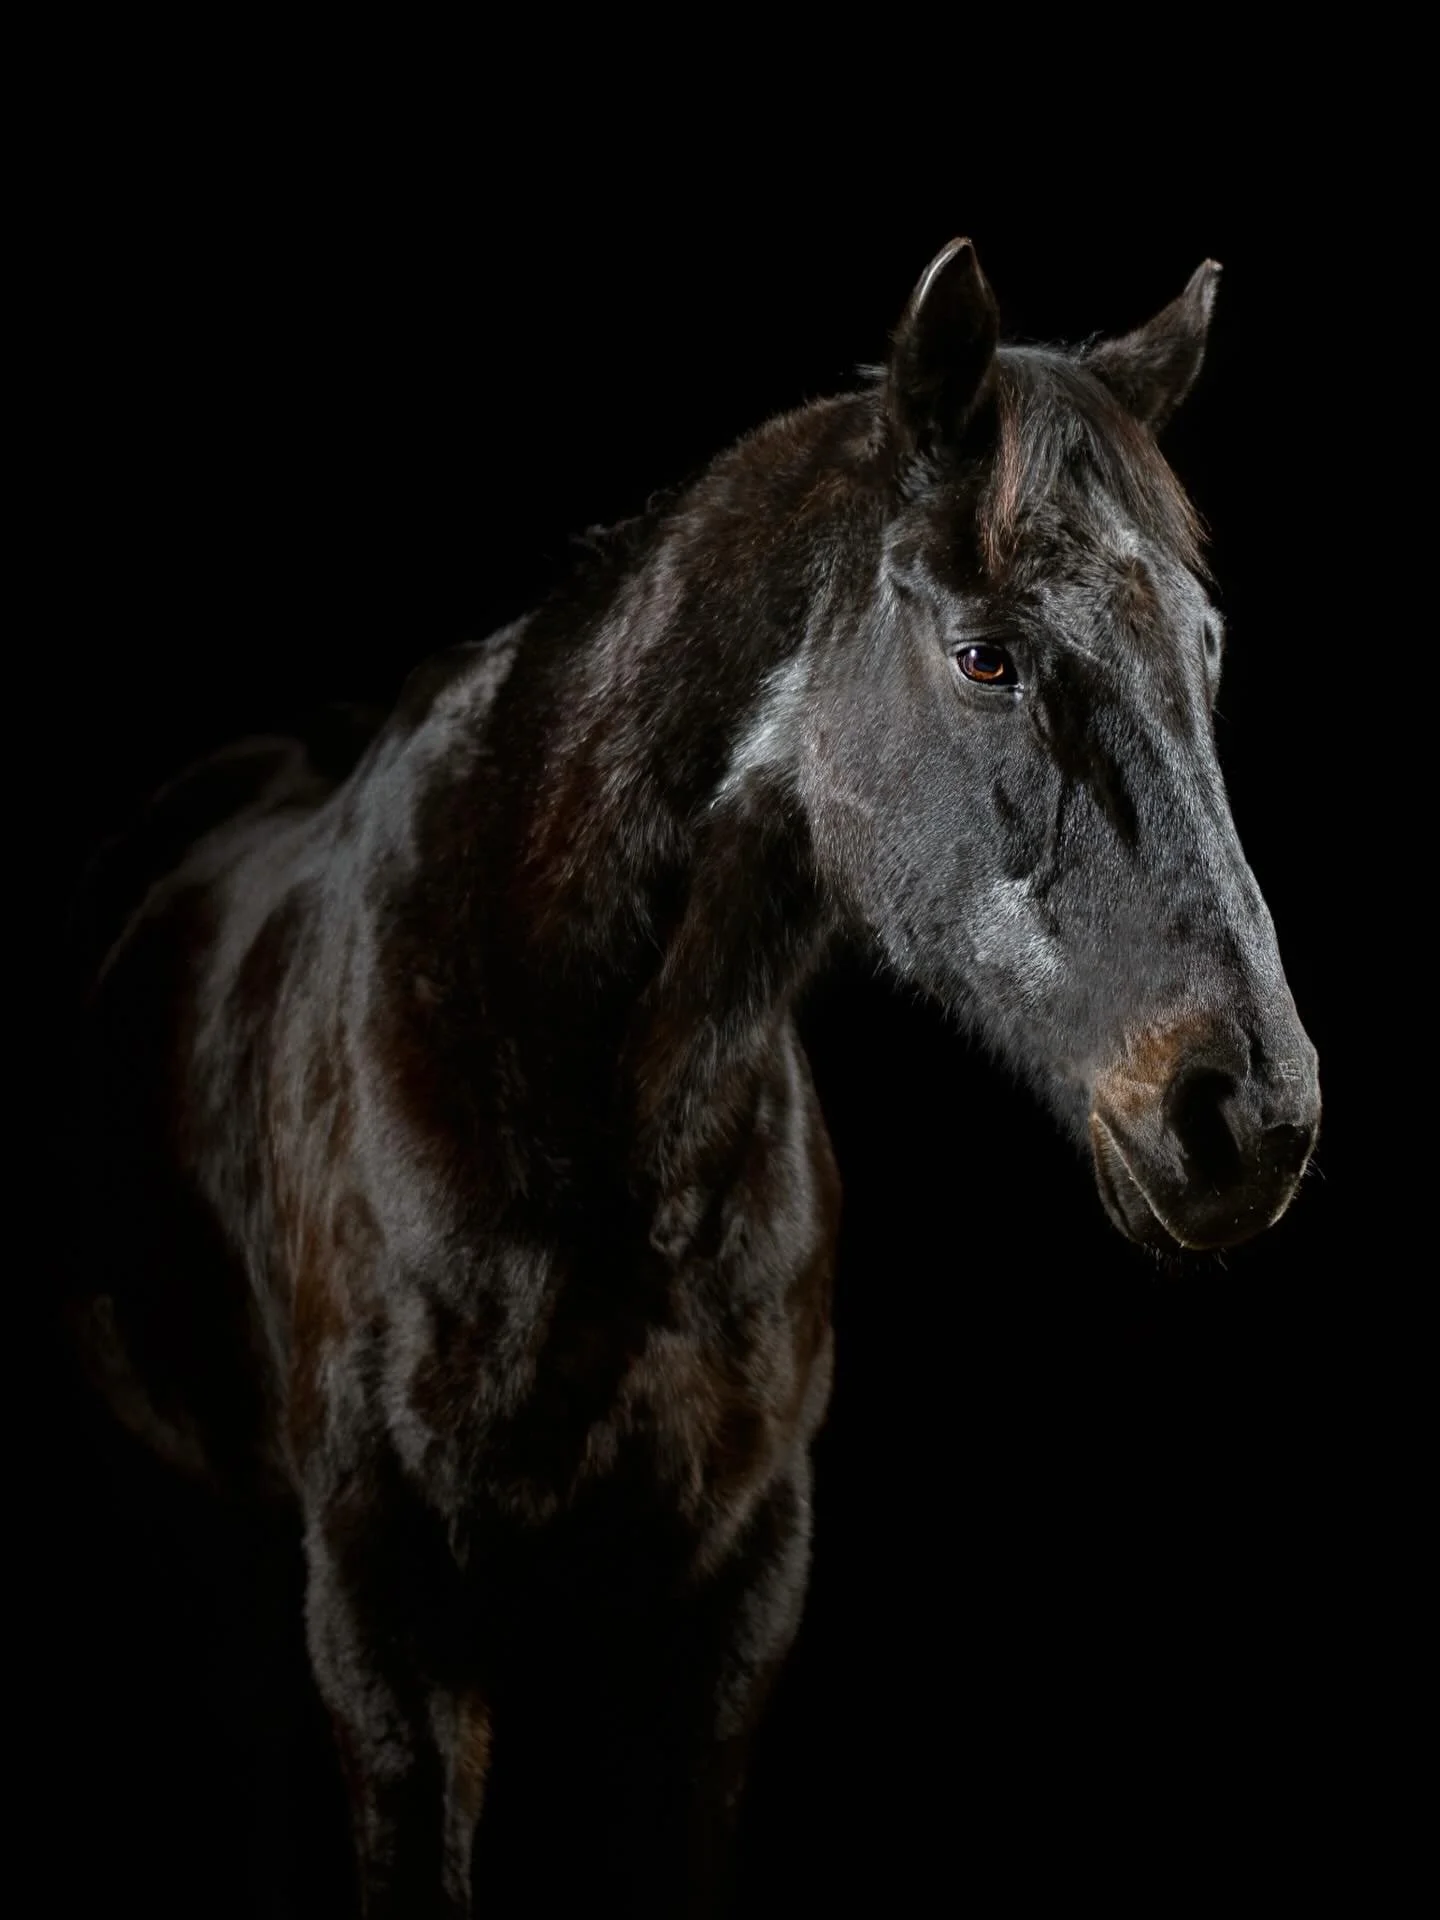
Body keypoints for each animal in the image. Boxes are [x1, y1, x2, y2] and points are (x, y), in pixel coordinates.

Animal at [73, 238, 1320, 1916]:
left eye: (1205, 649)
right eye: (987, 652)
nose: (1248, 1113)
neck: (574, 1086)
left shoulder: (730, 1606)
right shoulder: (388, 1619)